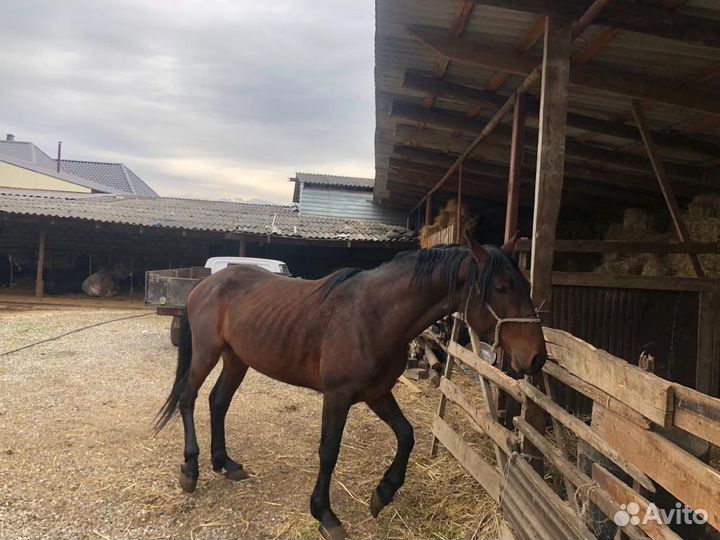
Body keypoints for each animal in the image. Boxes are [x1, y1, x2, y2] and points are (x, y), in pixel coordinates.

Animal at [155, 233, 546, 540]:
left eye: (524, 285)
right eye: (501, 287)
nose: (537, 357)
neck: (375, 315)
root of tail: (204, 285)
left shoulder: (377, 393)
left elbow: (406, 435)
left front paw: (383, 493)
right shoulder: (338, 395)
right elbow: (329, 451)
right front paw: (324, 514)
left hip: (236, 359)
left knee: (218, 402)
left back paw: (225, 463)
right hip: (206, 353)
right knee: (188, 399)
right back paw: (190, 470)